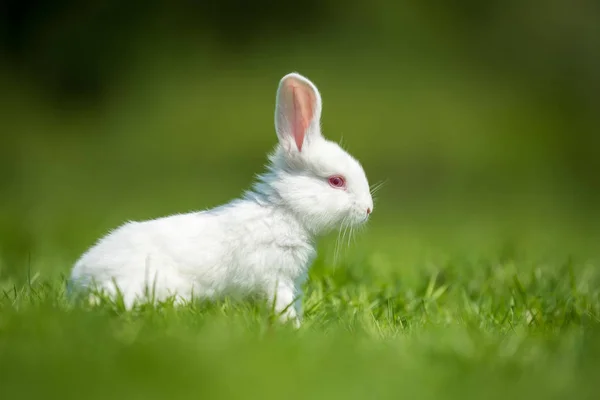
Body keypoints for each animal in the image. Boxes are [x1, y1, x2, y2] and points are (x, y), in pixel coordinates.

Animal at [68, 72, 372, 324]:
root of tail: (78, 280)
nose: (369, 209)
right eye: (336, 181)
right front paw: (294, 328)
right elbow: (282, 306)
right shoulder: (275, 279)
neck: (284, 213)